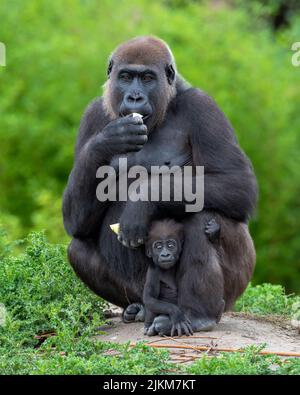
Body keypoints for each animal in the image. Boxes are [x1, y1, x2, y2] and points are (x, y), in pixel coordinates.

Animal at [62, 36, 256, 334]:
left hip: (231, 292)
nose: (134, 97)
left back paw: (199, 314)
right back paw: (139, 309)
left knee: (203, 215)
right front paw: (107, 140)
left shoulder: (204, 107)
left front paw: (143, 201)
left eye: (147, 78)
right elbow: (76, 219)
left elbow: (235, 181)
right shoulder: (92, 114)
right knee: (78, 247)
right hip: (142, 290)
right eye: (126, 77)